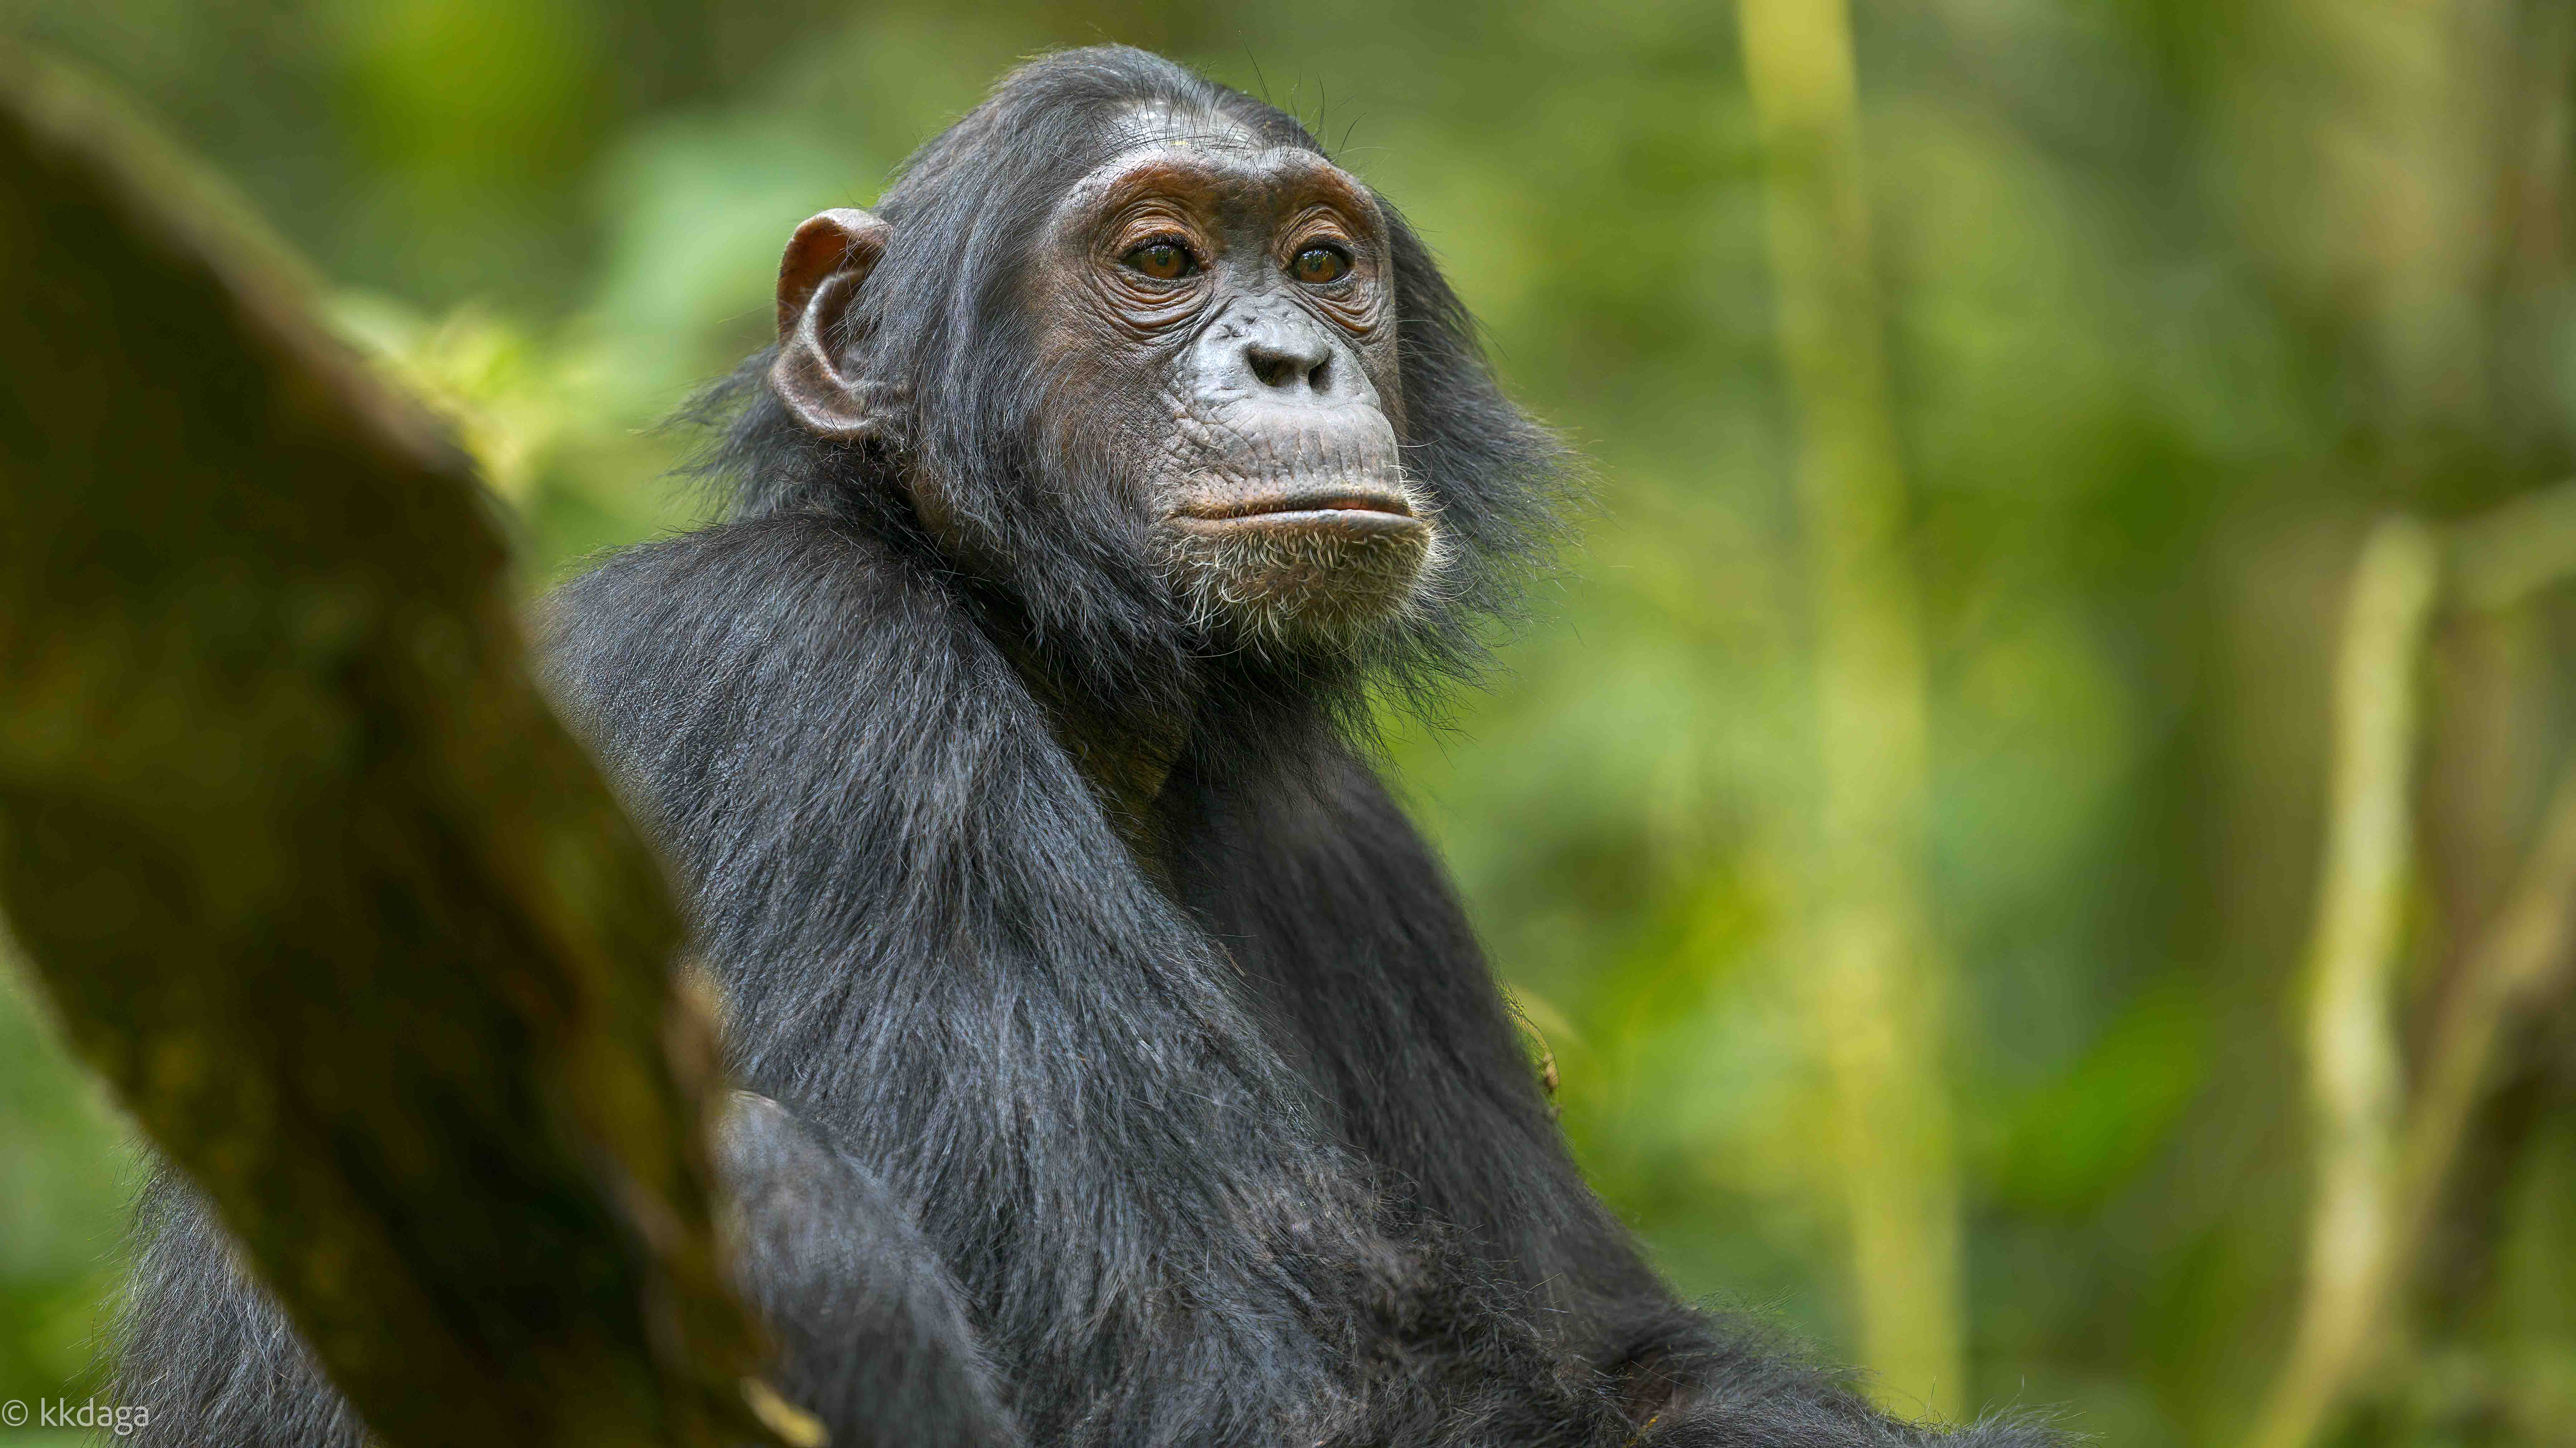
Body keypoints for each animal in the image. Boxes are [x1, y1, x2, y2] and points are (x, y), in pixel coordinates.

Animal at [111, 45, 2061, 1443]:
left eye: (1323, 265)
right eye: (1159, 261)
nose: (1290, 356)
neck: (1035, 645)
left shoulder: (1352, 849)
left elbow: (1622, 1360)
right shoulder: (816, 685)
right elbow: (1217, 1372)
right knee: (780, 1197)